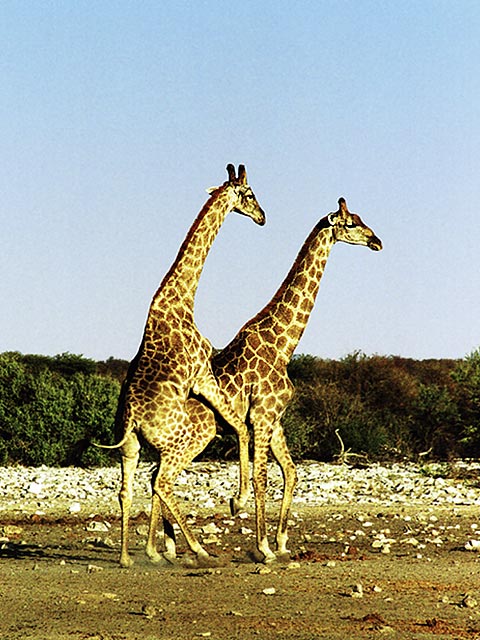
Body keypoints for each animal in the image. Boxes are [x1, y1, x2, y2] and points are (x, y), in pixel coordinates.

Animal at [182, 195, 380, 560]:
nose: (377, 241)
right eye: (350, 224)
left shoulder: (276, 419)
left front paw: (283, 541)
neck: (283, 344)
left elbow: (291, 472)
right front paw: (263, 546)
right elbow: (262, 478)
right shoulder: (262, 416)